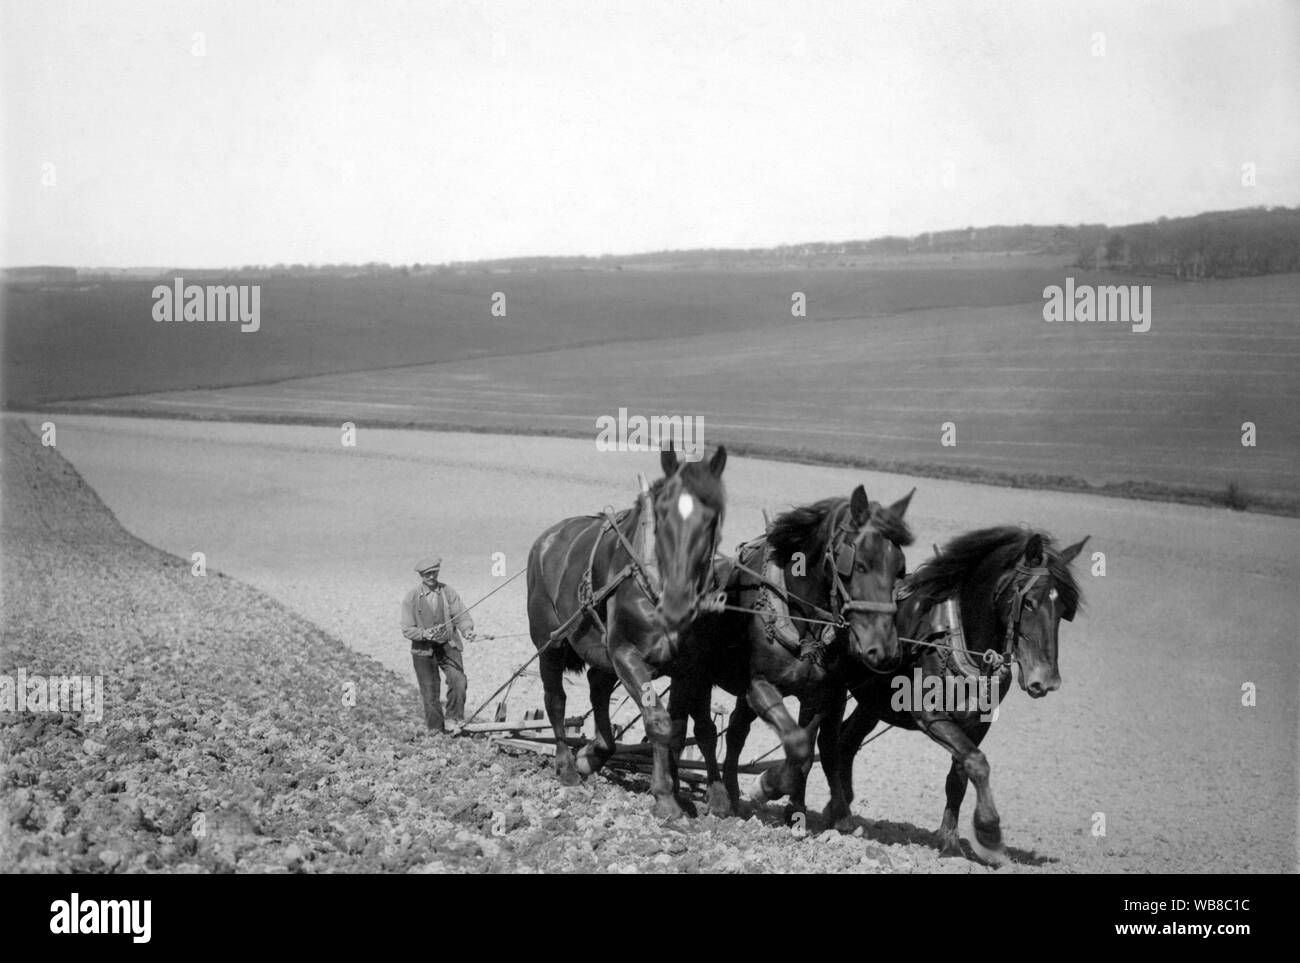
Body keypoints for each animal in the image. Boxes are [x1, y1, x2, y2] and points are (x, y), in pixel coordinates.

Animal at [527, 447, 733, 816]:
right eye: (662, 514)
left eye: (712, 517)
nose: (678, 601)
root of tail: (546, 540)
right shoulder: (626, 654)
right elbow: (659, 721)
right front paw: (665, 798)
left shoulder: (692, 667)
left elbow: (690, 728)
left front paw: (704, 795)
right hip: (550, 643)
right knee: (556, 700)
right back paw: (567, 766)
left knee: (597, 684)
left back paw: (594, 754)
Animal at [670, 488, 915, 821]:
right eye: (860, 564)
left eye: (900, 568)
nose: (885, 649)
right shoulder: (760, 686)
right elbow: (798, 744)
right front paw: (768, 785)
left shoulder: (821, 694)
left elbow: (810, 748)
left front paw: (800, 808)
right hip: (697, 675)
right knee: (701, 729)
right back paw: (714, 795)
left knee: (735, 731)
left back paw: (732, 791)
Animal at [826, 525, 1092, 862]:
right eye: (1029, 602)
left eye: (1063, 610)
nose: (1045, 680)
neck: (956, 637)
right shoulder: (930, 715)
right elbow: (977, 762)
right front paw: (989, 831)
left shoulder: (976, 723)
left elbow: (959, 777)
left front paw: (950, 842)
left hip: (872, 701)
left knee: (845, 742)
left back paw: (840, 810)